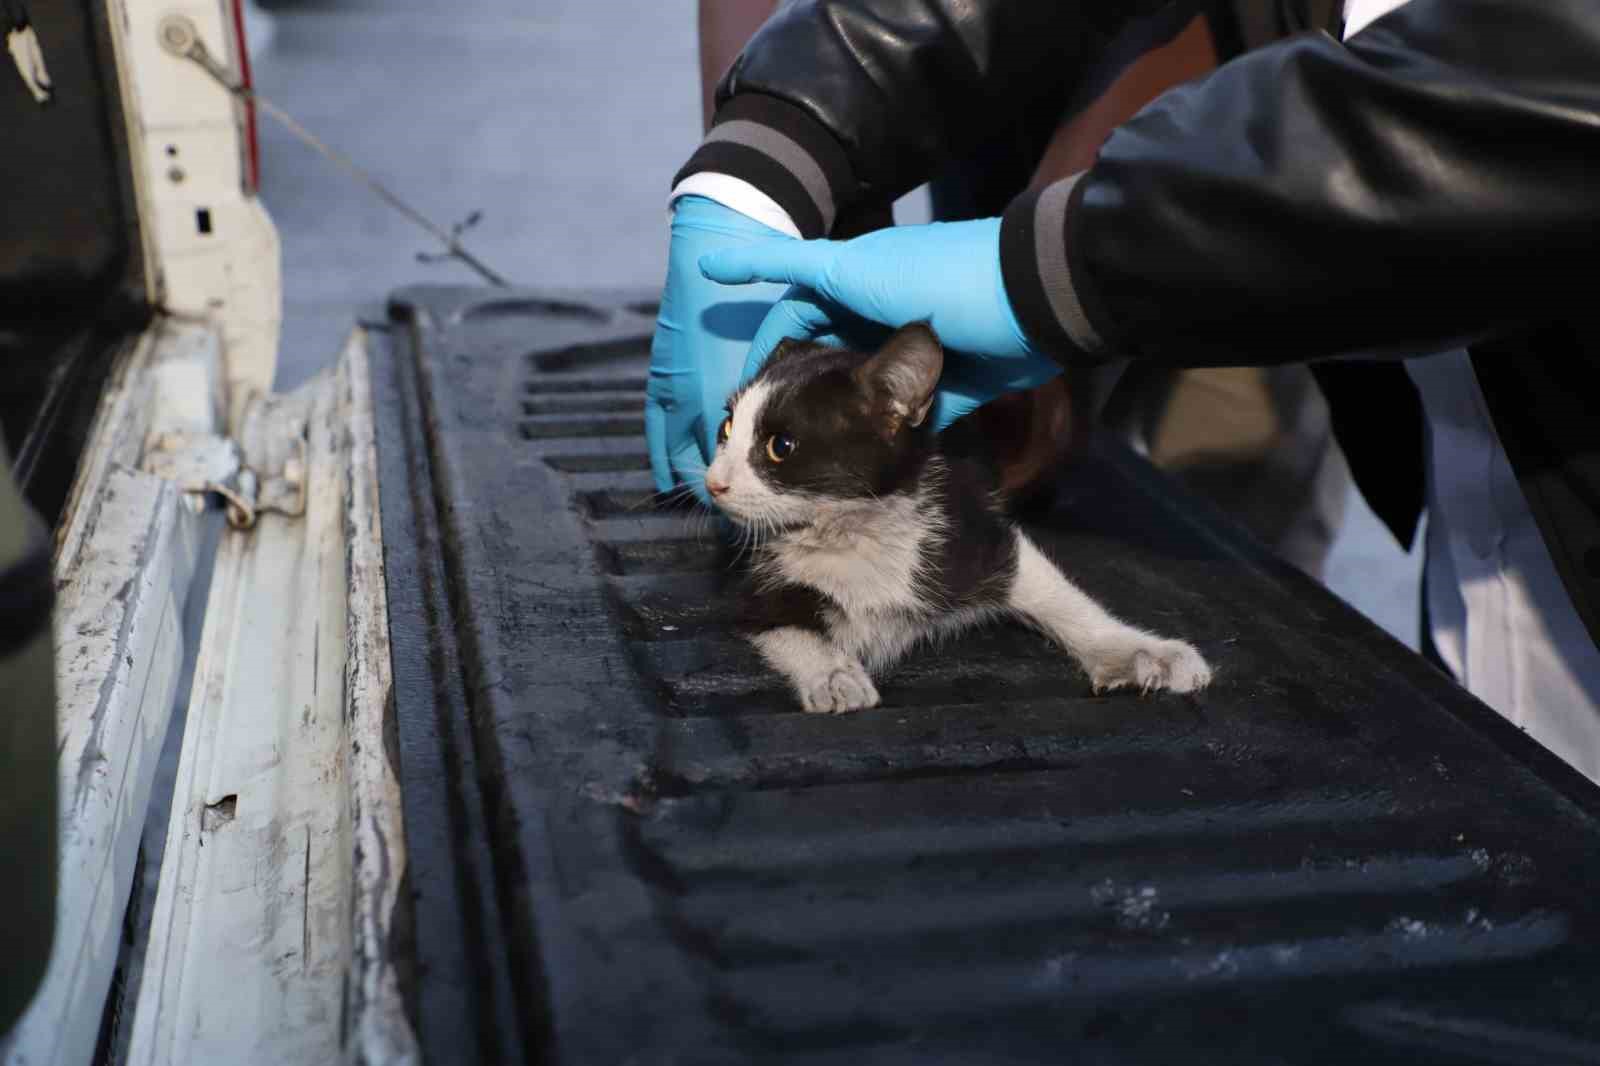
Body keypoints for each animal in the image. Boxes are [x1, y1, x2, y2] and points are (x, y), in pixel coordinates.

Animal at [704, 320, 1209, 710]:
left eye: (780, 446)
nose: (713, 482)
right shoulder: (756, 585)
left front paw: (1143, 651)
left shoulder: (974, 525)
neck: (853, 529)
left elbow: (1056, 592)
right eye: (725, 428)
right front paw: (833, 675)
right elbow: (785, 626)